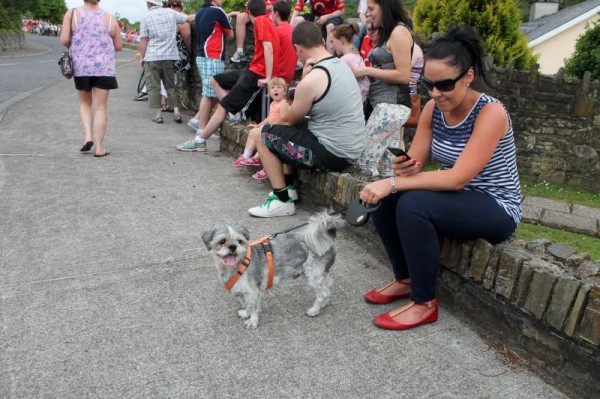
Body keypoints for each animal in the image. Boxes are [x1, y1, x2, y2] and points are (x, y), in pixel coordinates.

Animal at [202, 214, 344, 330]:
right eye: (222, 241)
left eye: (239, 241)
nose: (232, 246)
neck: (238, 264)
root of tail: (328, 240)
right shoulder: (248, 292)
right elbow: (249, 305)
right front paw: (246, 314)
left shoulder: (253, 291)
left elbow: (253, 307)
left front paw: (252, 321)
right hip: (319, 274)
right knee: (328, 287)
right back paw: (323, 304)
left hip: (312, 275)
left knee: (323, 293)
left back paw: (314, 310)